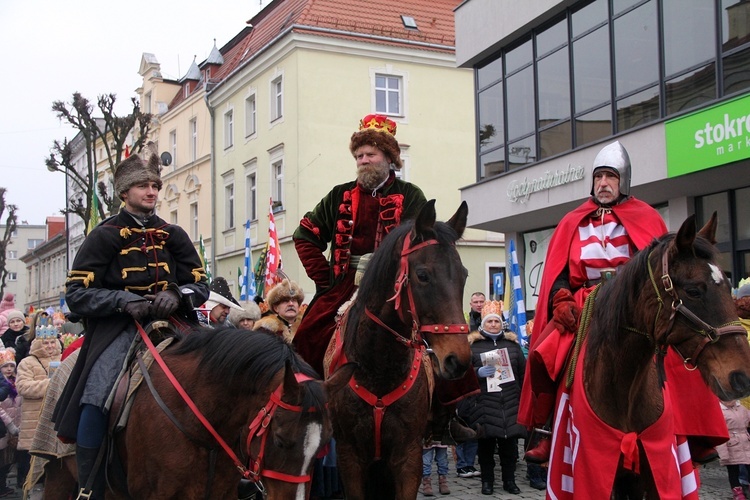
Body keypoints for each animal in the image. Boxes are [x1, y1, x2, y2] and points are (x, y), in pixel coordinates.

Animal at [328, 201, 472, 500]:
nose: (458, 360)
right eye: (423, 275)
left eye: (463, 275)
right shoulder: (350, 457)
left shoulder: (408, 456)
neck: (379, 366)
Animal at [548, 213, 750, 498]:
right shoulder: (596, 466)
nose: (742, 377)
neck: (624, 389)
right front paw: (564, 306)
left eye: (729, 286)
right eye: (693, 291)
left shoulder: (656, 466)